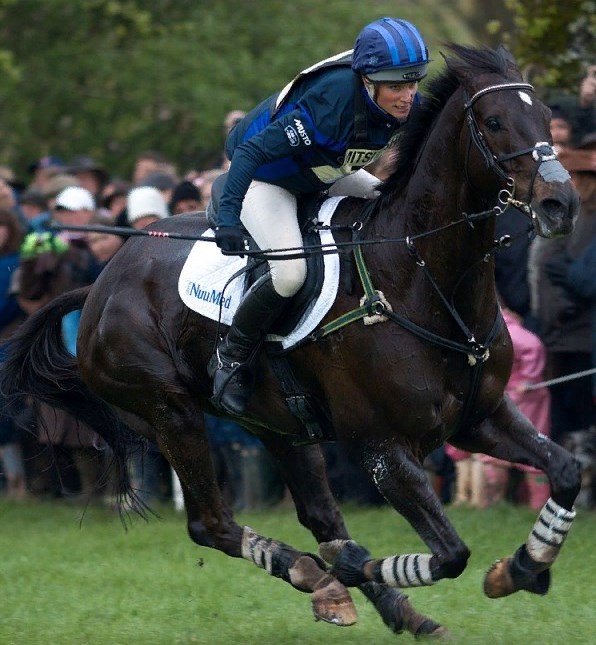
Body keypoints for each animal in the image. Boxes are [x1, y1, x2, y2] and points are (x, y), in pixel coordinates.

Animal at [0, 44, 582, 637]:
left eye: (545, 116)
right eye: (494, 122)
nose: (561, 204)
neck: (418, 276)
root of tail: (100, 282)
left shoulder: (479, 418)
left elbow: (565, 470)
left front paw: (522, 566)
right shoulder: (381, 448)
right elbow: (450, 553)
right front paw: (354, 566)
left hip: (280, 424)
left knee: (319, 516)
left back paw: (381, 605)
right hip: (171, 411)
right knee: (213, 524)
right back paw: (314, 575)